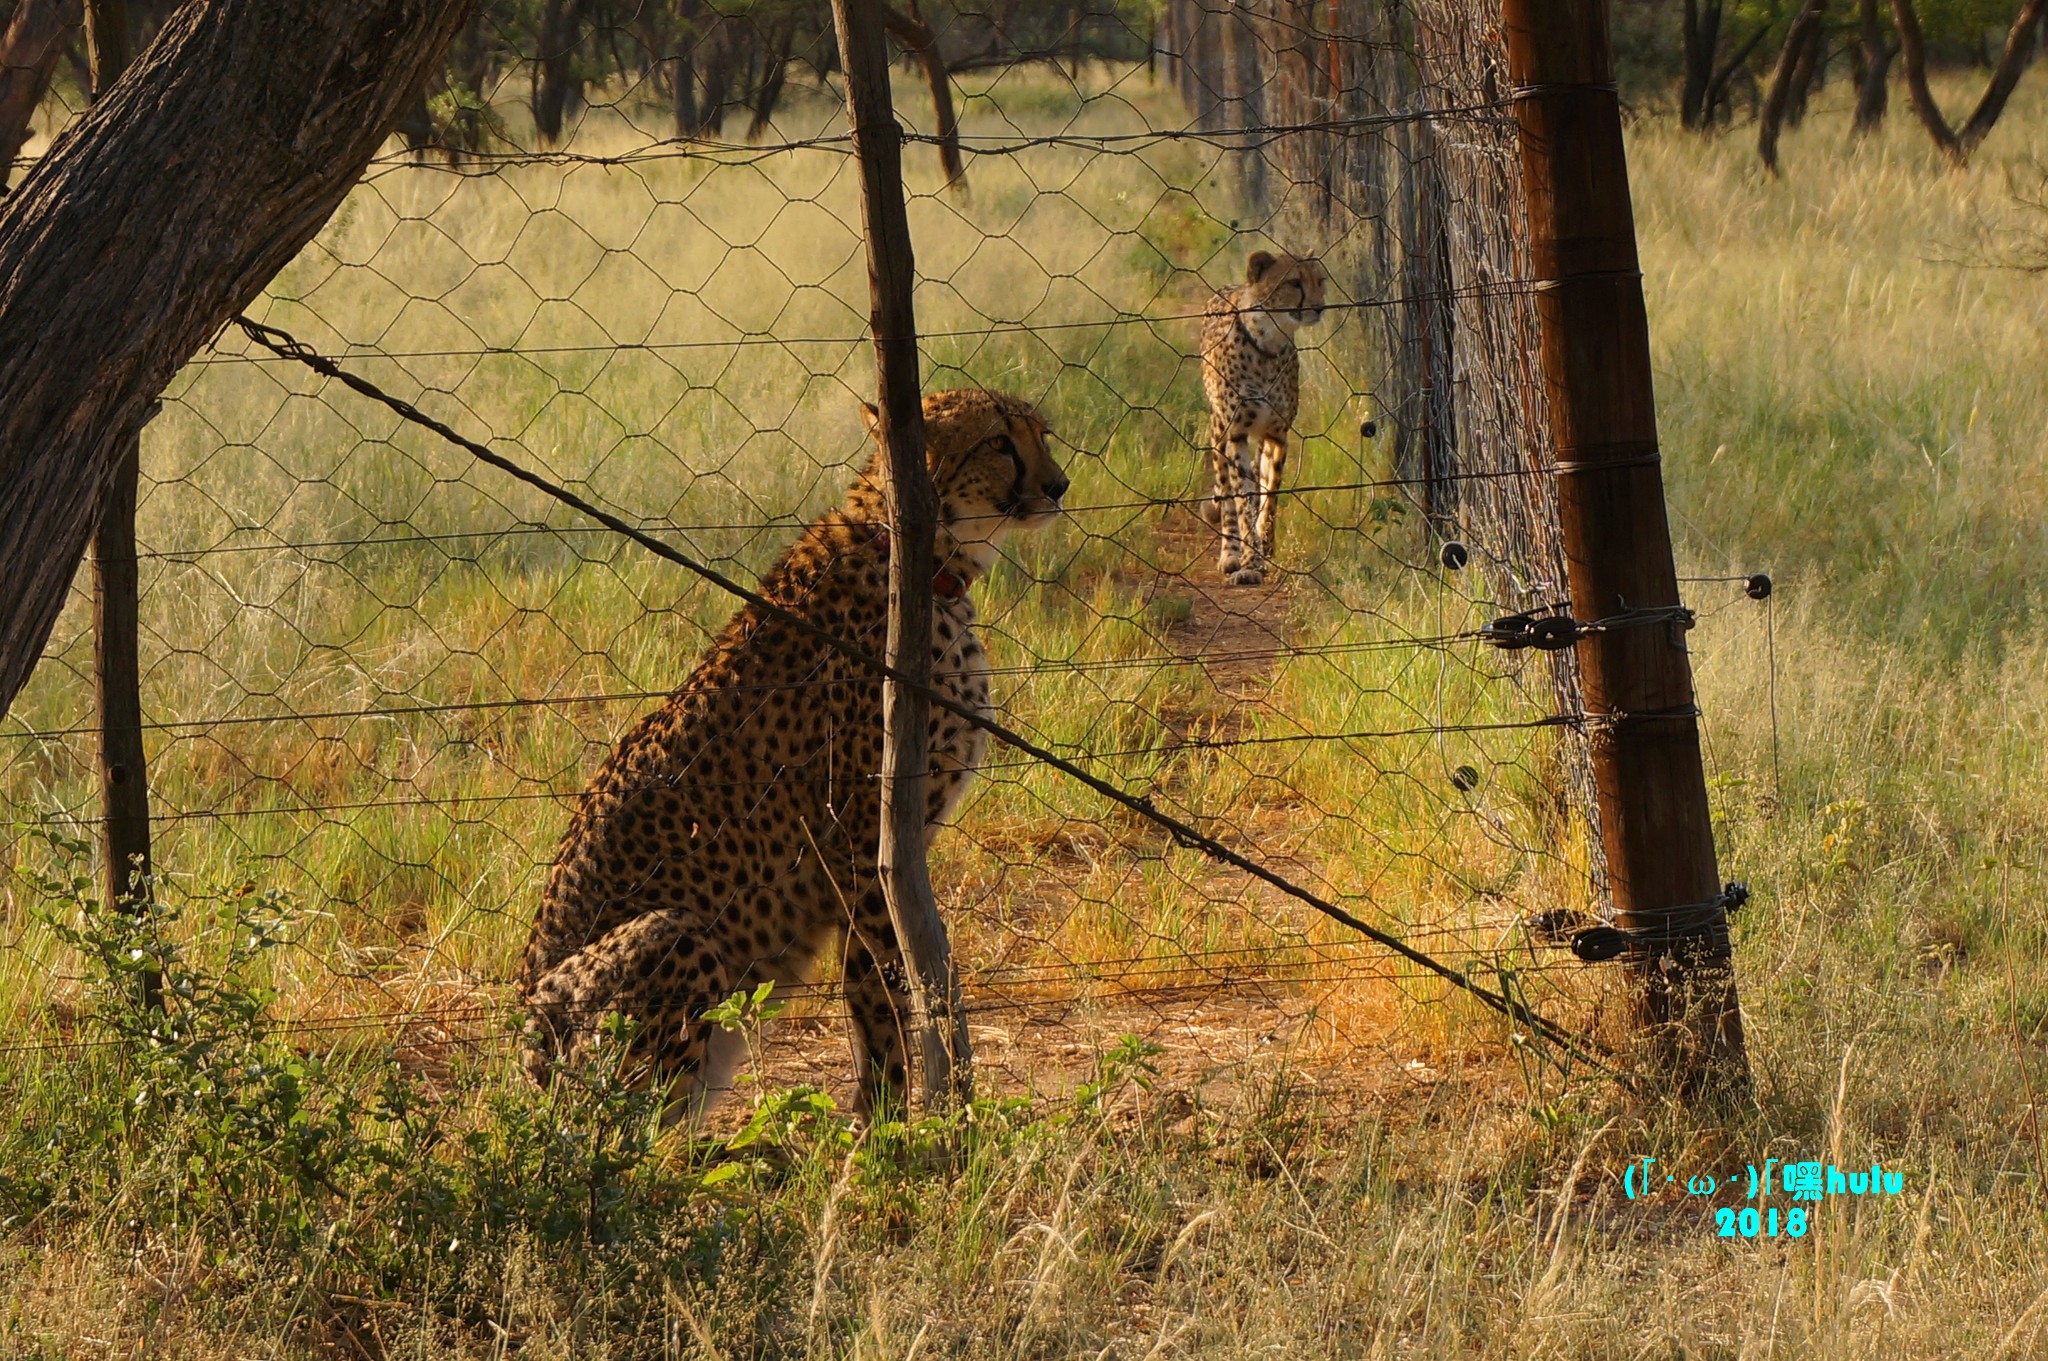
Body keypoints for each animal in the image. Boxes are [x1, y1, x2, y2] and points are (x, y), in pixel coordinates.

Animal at [516, 386, 1073, 1121]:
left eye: (1040, 433)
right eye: (999, 441)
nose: (1059, 485)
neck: (911, 551)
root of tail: (517, 1074)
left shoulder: (886, 852)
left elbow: (898, 976)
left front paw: (885, 1119)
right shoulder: (859, 845)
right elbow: (879, 991)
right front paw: (889, 1127)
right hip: (671, 936)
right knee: (629, 1133)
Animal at [1196, 248, 1327, 585]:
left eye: (1320, 280)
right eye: (1294, 282)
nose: (1319, 307)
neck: (1268, 342)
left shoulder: (1277, 435)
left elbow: (1270, 495)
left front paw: (1265, 544)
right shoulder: (1237, 434)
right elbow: (1243, 500)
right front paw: (1249, 561)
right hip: (1219, 435)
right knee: (1227, 498)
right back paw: (1230, 554)